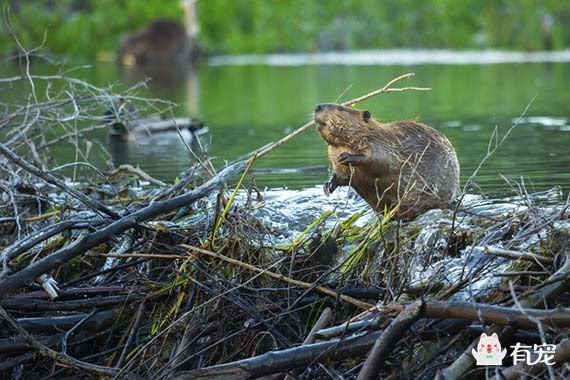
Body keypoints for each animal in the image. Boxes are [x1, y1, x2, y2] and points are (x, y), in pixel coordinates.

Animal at [312, 103, 460, 220]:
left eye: (341, 108)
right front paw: (327, 186)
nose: (317, 106)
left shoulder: (380, 142)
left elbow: (380, 160)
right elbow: (341, 176)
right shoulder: (333, 153)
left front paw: (346, 157)